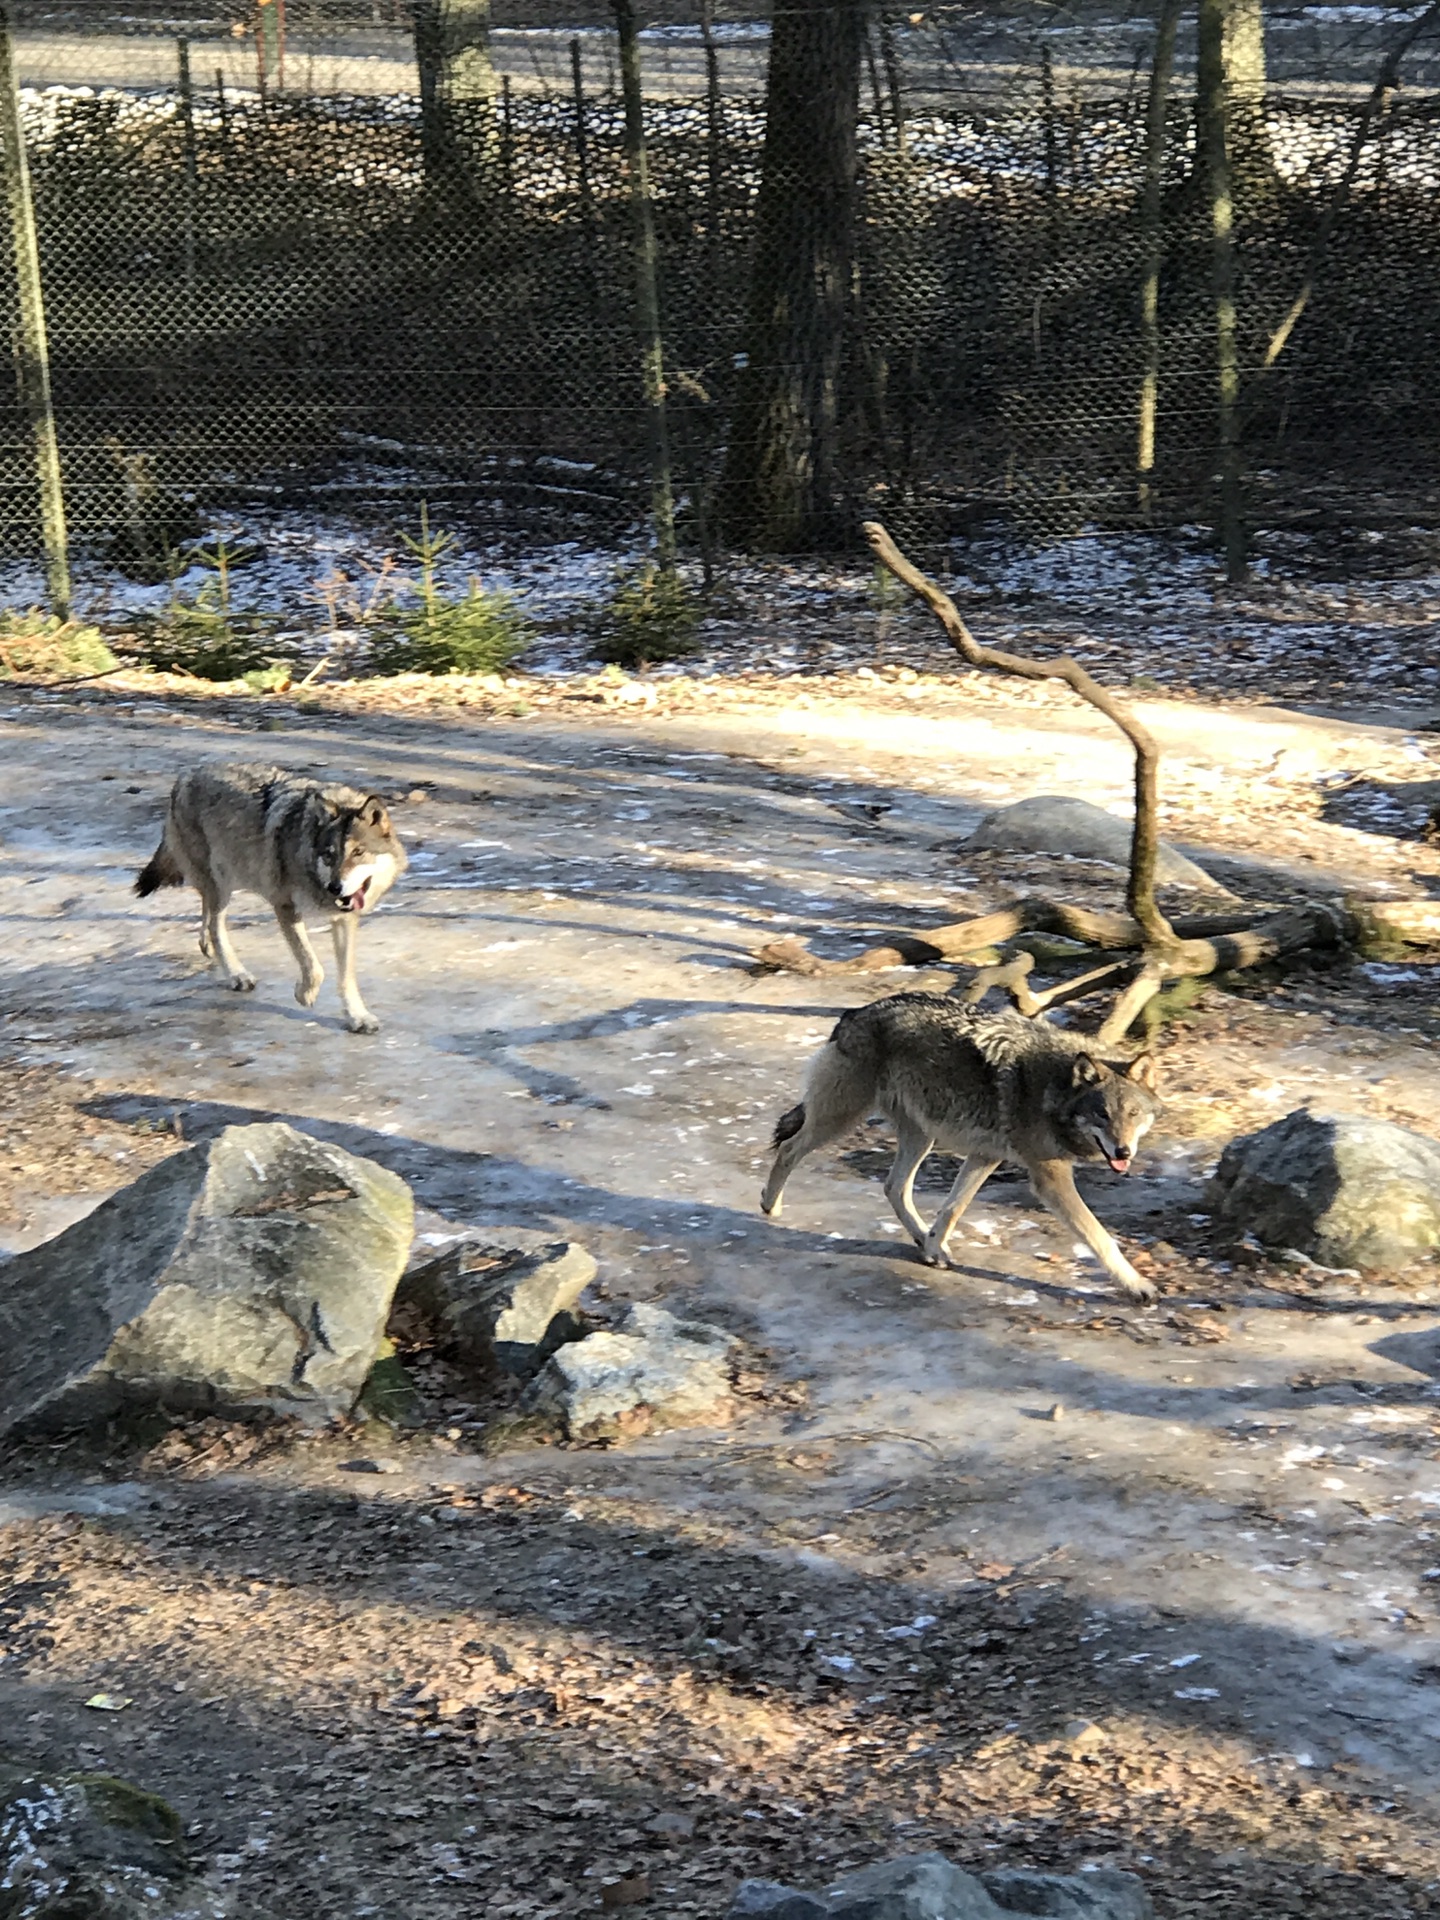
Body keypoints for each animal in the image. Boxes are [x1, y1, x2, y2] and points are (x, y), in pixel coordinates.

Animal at [136, 760, 408, 1036]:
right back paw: (236, 974)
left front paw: (357, 1017)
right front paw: (305, 994)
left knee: (206, 914)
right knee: (215, 925)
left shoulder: (344, 919)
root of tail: (186, 775)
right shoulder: (285, 906)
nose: (334, 887)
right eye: (329, 855)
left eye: (359, 852)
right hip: (222, 883)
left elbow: (346, 976)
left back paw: (209, 949)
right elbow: (314, 966)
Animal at [768, 990, 1159, 1305]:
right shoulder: (1050, 1177)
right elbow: (1101, 1237)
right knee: (788, 1149)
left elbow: (952, 1209)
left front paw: (933, 1247)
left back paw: (922, 1240)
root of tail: (854, 1013)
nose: (1124, 1152)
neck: (1054, 1088)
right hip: (843, 1119)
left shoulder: (986, 1155)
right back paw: (770, 1207)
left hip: (921, 1135)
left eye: (1133, 1114)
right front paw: (1138, 1285)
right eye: (1102, 1114)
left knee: (894, 1187)